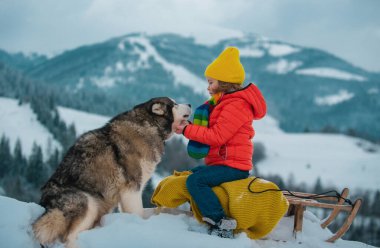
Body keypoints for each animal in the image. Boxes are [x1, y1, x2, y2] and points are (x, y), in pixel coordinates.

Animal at [33, 98, 191, 247]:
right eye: (175, 104)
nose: (190, 104)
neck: (149, 126)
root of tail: (45, 205)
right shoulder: (132, 188)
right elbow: (138, 213)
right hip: (89, 203)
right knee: (69, 237)